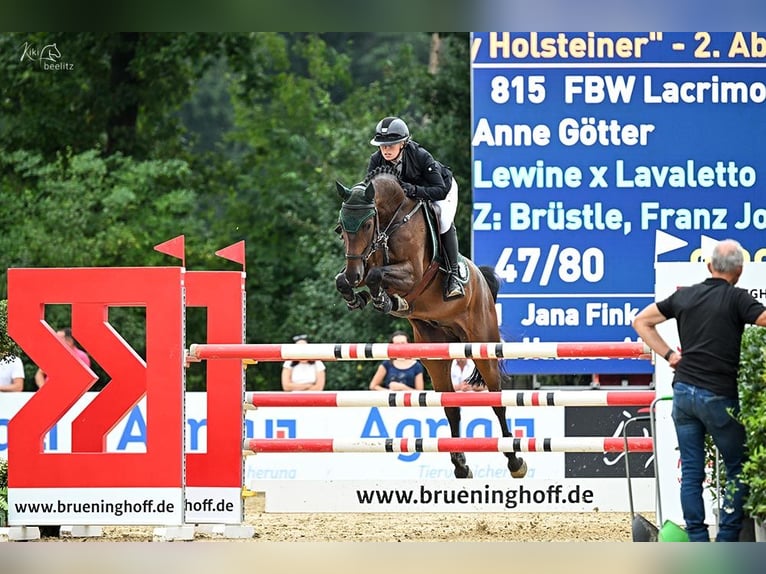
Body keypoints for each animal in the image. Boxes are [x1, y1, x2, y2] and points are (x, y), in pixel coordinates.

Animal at [336, 166, 528, 482]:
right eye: (342, 227)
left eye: (367, 224)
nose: (354, 275)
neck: (390, 220)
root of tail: (482, 280)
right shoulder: (365, 263)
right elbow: (350, 278)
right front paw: (359, 297)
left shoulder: (412, 274)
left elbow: (377, 275)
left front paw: (383, 299)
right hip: (435, 352)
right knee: (451, 407)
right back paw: (460, 465)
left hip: (483, 345)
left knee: (496, 400)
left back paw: (515, 461)